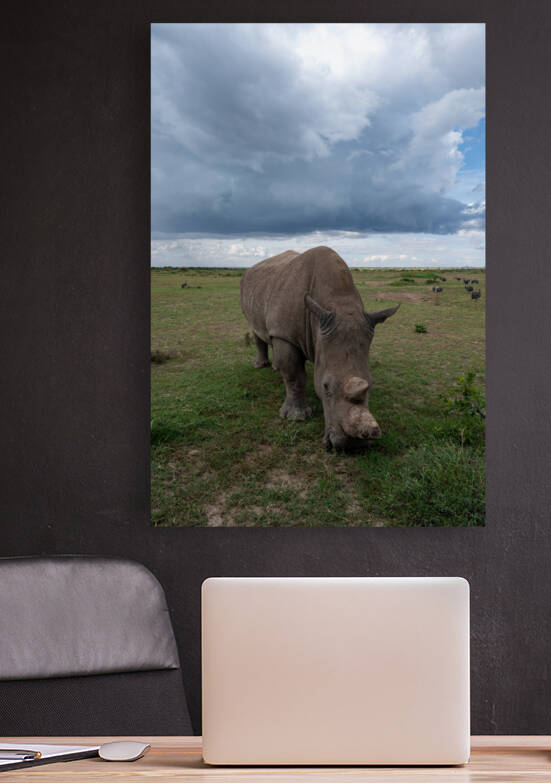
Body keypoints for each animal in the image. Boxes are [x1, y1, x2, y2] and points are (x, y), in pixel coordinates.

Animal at [240, 246, 399, 450]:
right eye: (326, 386)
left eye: (371, 383)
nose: (353, 446)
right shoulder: (286, 334)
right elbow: (294, 375)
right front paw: (296, 417)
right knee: (257, 329)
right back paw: (262, 366)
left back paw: (276, 367)